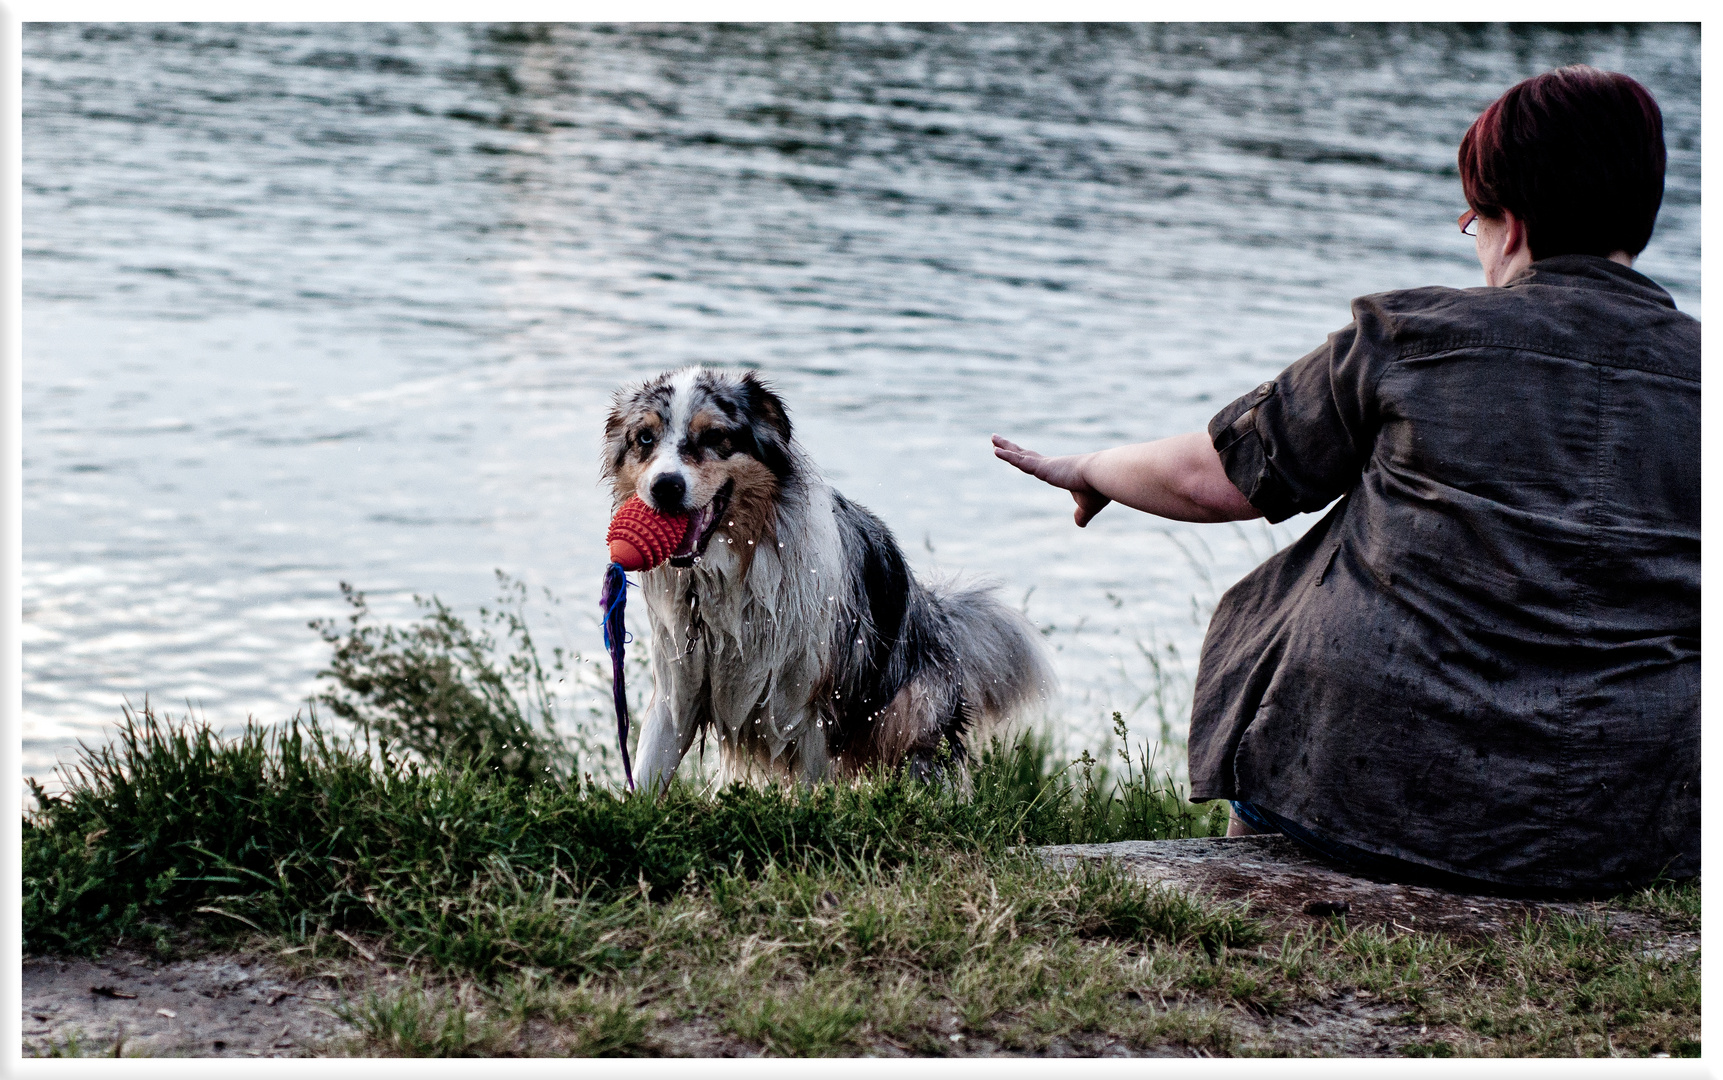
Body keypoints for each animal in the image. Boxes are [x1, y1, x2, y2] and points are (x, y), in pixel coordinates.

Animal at [603, 366, 1047, 788]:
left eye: (714, 435)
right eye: (644, 438)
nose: (665, 488)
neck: (728, 573)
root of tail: (935, 610)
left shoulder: (808, 712)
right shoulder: (676, 694)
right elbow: (645, 777)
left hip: (909, 716)